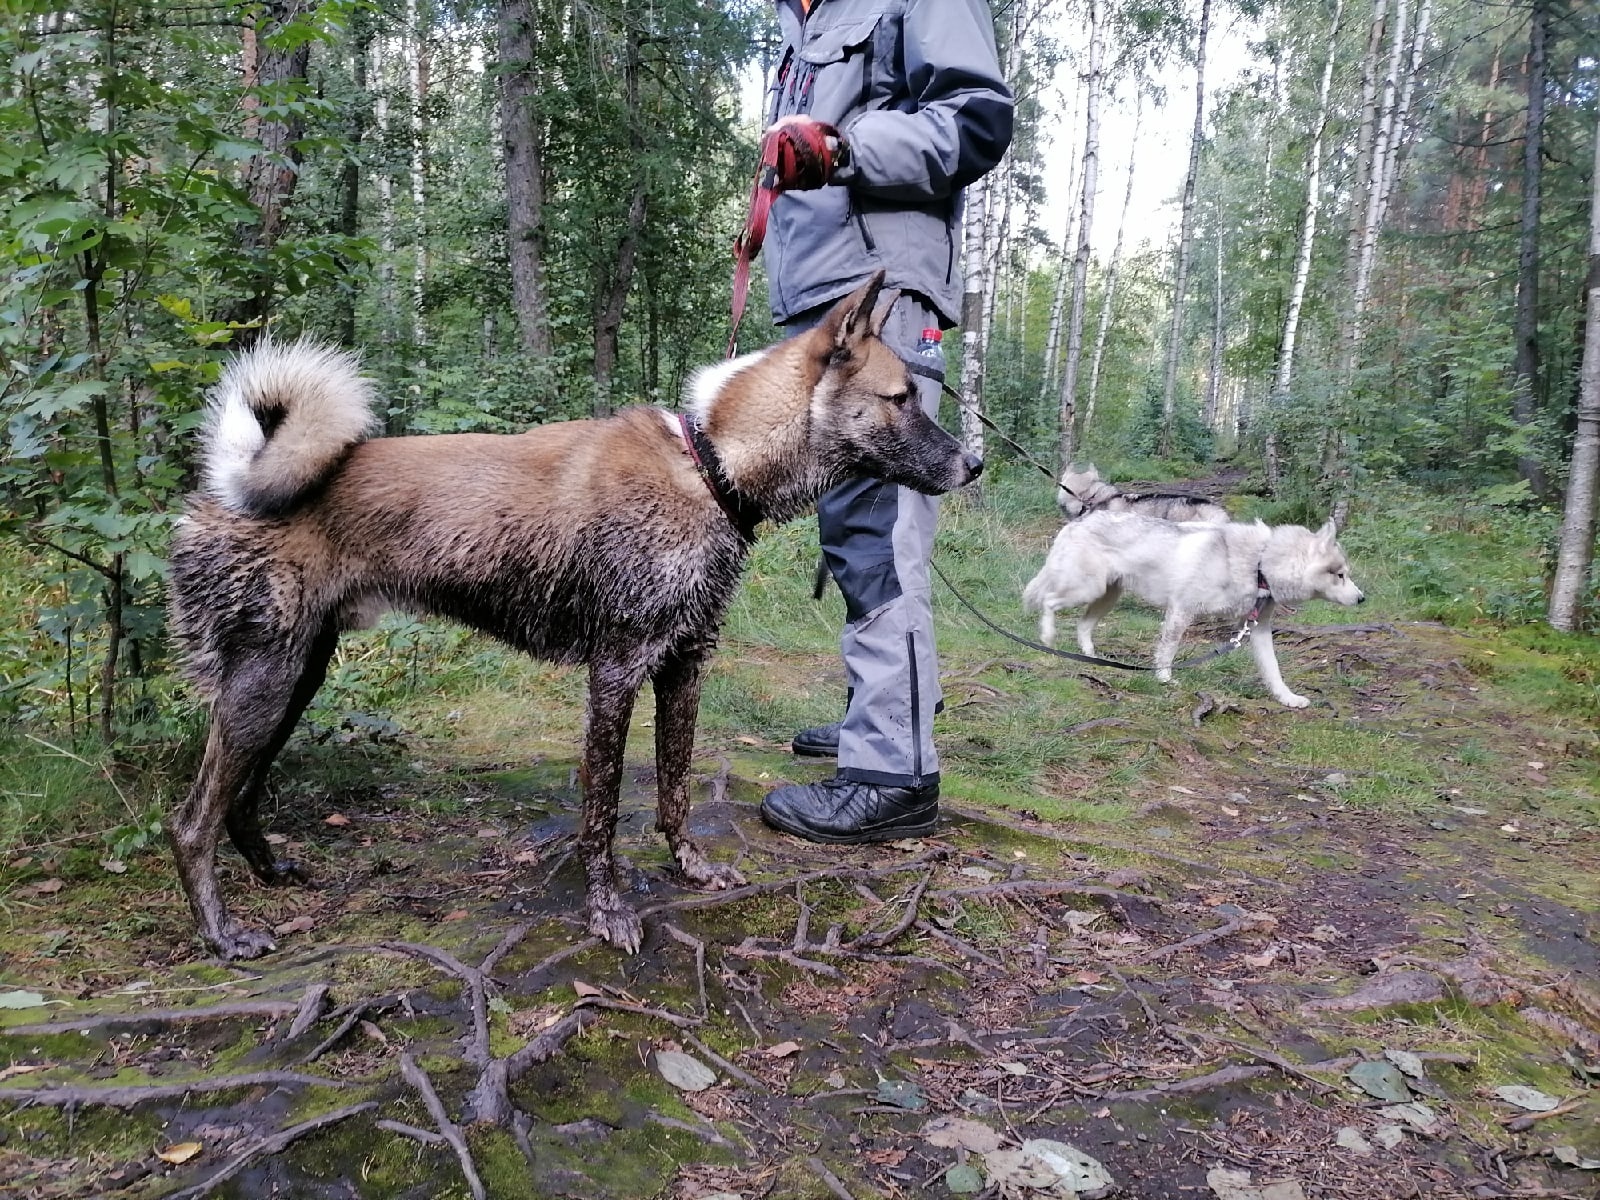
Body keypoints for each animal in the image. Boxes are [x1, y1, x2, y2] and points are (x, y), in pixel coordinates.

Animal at [168, 272, 979, 960]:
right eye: (901, 398)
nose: (973, 465)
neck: (709, 466)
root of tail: (223, 484)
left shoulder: (683, 666)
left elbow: (675, 789)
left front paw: (689, 868)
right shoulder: (616, 672)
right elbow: (603, 809)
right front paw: (607, 909)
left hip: (295, 676)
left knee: (239, 799)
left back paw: (270, 872)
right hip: (264, 684)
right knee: (191, 822)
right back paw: (222, 934)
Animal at [1024, 512, 1363, 710]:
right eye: (1340, 575)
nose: (1362, 598)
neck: (1259, 563)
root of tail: (1077, 521)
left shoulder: (1258, 629)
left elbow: (1273, 671)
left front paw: (1287, 698)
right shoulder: (1181, 611)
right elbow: (1168, 651)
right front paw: (1164, 680)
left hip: (1106, 596)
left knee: (1082, 625)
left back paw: (1092, 657)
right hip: (1085, 590)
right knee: (1049, 602)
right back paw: (1047, 638)